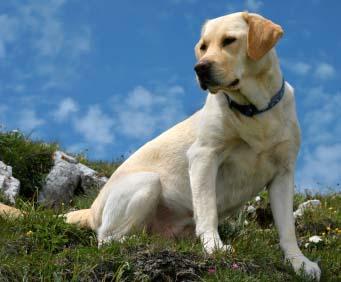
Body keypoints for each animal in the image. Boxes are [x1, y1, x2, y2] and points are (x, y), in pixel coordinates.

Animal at [0, 11, 318, 280]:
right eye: (204, 46)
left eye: (230, 40)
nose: (200, 68)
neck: (256, 111)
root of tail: (90, 209)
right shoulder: (204, 157)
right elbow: (208, 211)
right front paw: (215, 247)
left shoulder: (283, 174)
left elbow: (287, 229)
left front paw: (299, 263)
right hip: (148, 182)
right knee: (107, 240)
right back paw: (132, 240)